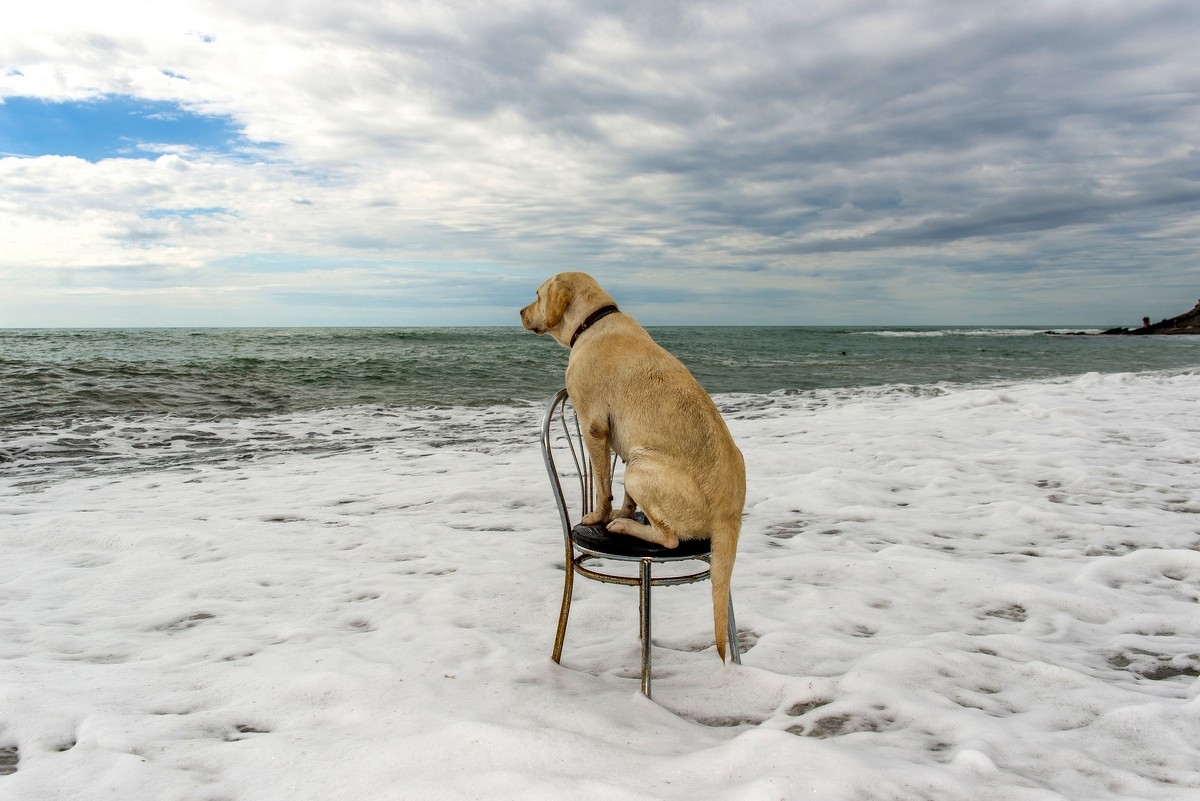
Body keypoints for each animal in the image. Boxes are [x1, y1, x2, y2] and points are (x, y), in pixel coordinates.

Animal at [520, 272, 744, 661]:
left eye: (537, 294)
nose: (520, 311)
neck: (593, 320)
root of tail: (729, 513)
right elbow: (622, 495)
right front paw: (622, 511)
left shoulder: (594, 427)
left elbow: (602, 484)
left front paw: (599, 516)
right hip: (639, 461)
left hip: (641, 467)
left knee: (669, 538)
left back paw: (625, 527)